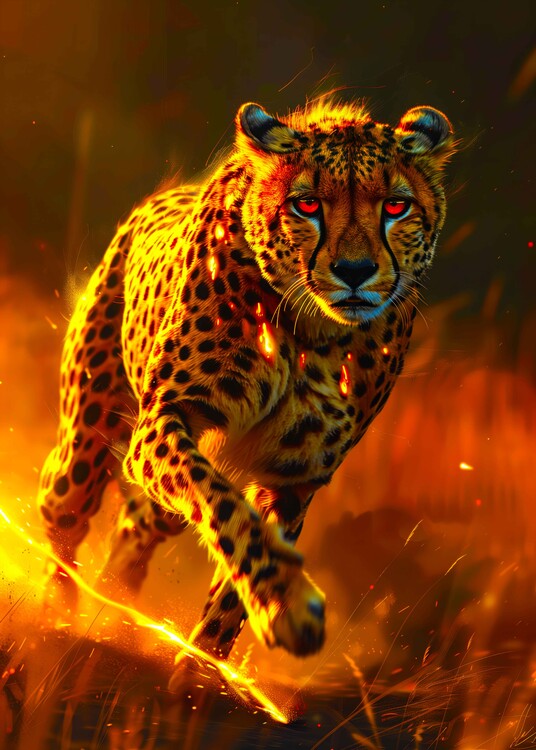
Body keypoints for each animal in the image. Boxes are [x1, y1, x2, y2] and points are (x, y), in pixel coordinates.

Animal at [38, 98, 455, 674]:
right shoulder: (168, 418)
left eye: (396, 206)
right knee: (61, 510)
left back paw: (116, 604)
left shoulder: (294, 475)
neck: (310, 332)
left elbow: (236, 582)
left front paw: (205, 665)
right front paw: (288, 607)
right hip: (83, 449)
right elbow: (222, 503)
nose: (354, 270)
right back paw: (59, 610)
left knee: (139, 525)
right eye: (307, 205)